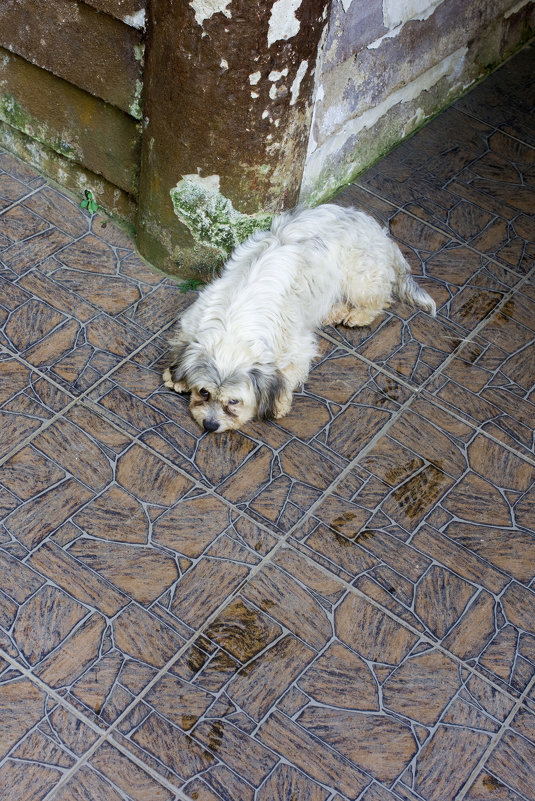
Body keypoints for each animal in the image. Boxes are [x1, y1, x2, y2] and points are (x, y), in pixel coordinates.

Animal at [163, 205, 436, 432]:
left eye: (234, 401)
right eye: (204, 392)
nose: (210, 425)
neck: (236, 322)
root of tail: (380, 232)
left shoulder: (298, 348)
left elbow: (287, 377)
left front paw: (279, 404)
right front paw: (176, 375)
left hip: (360, 280)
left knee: (380, 298)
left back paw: (357, 315)